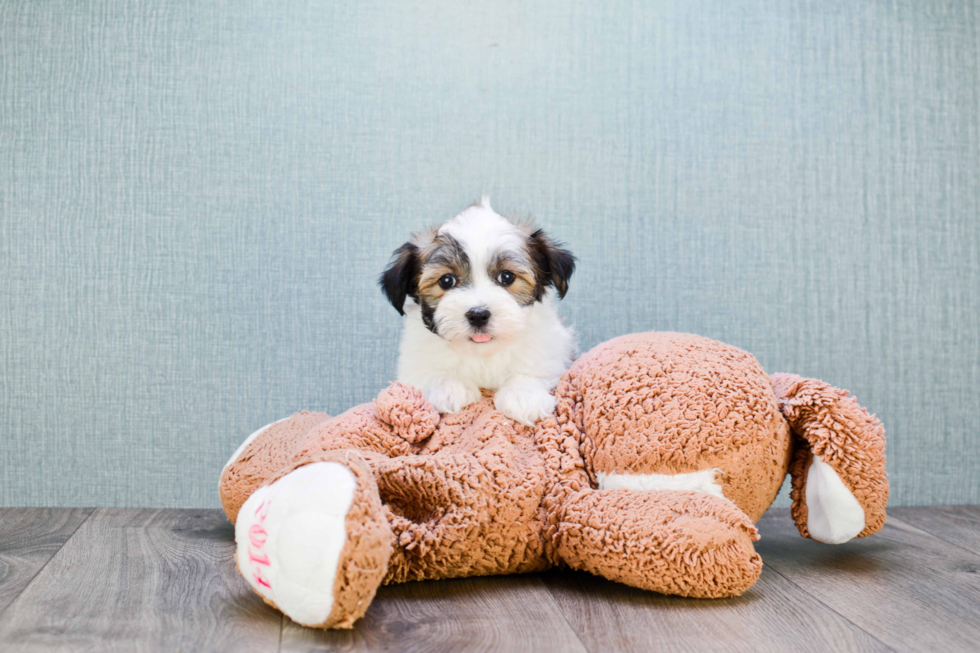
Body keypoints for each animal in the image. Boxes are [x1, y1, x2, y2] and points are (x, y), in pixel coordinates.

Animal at [378, 196, 580, 426]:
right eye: (446, 281)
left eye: (507, 277)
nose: (478, 315)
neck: (483, 354)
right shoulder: (412, 366)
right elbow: (429, 373)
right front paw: (448, 388)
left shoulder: (552, 352)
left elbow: (535, 370)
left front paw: (524, 395)